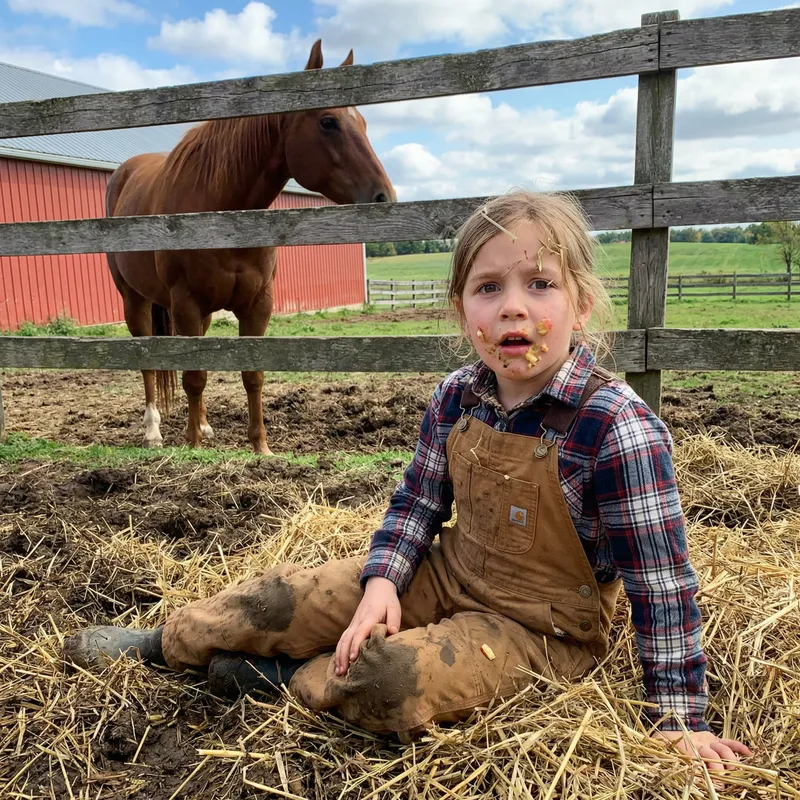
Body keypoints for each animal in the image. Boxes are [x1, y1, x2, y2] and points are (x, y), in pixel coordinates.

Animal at [105, 40, 395, 455]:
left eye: (365, 123)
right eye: (328, 122)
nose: (383, 197)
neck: (222, 212)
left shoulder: (258, 304)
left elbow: (252, 373)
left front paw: (260, 446)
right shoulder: (186, 303)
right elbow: (194, 374)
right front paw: (192, 444)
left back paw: (204, 424)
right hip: (136, 300)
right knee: (148, 362)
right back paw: (153, 431)